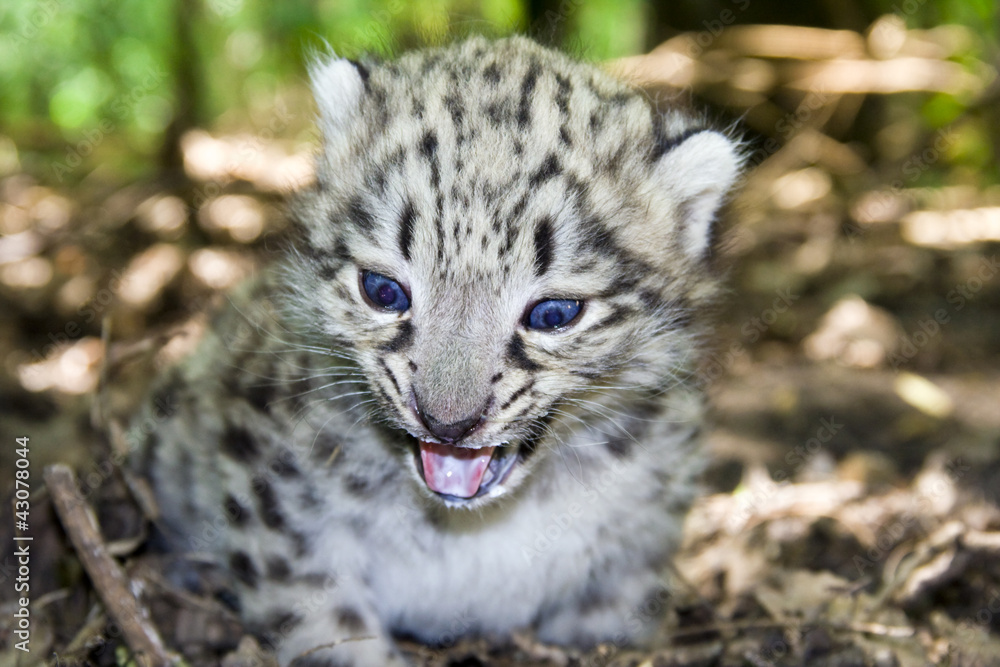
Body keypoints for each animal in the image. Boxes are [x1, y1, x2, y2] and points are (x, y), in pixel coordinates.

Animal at [133, 34, 743, 666]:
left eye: (553, 314)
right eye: (383, 290)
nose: (447, 423)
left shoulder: (638, 549)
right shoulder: (280, 519)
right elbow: (326, 626)